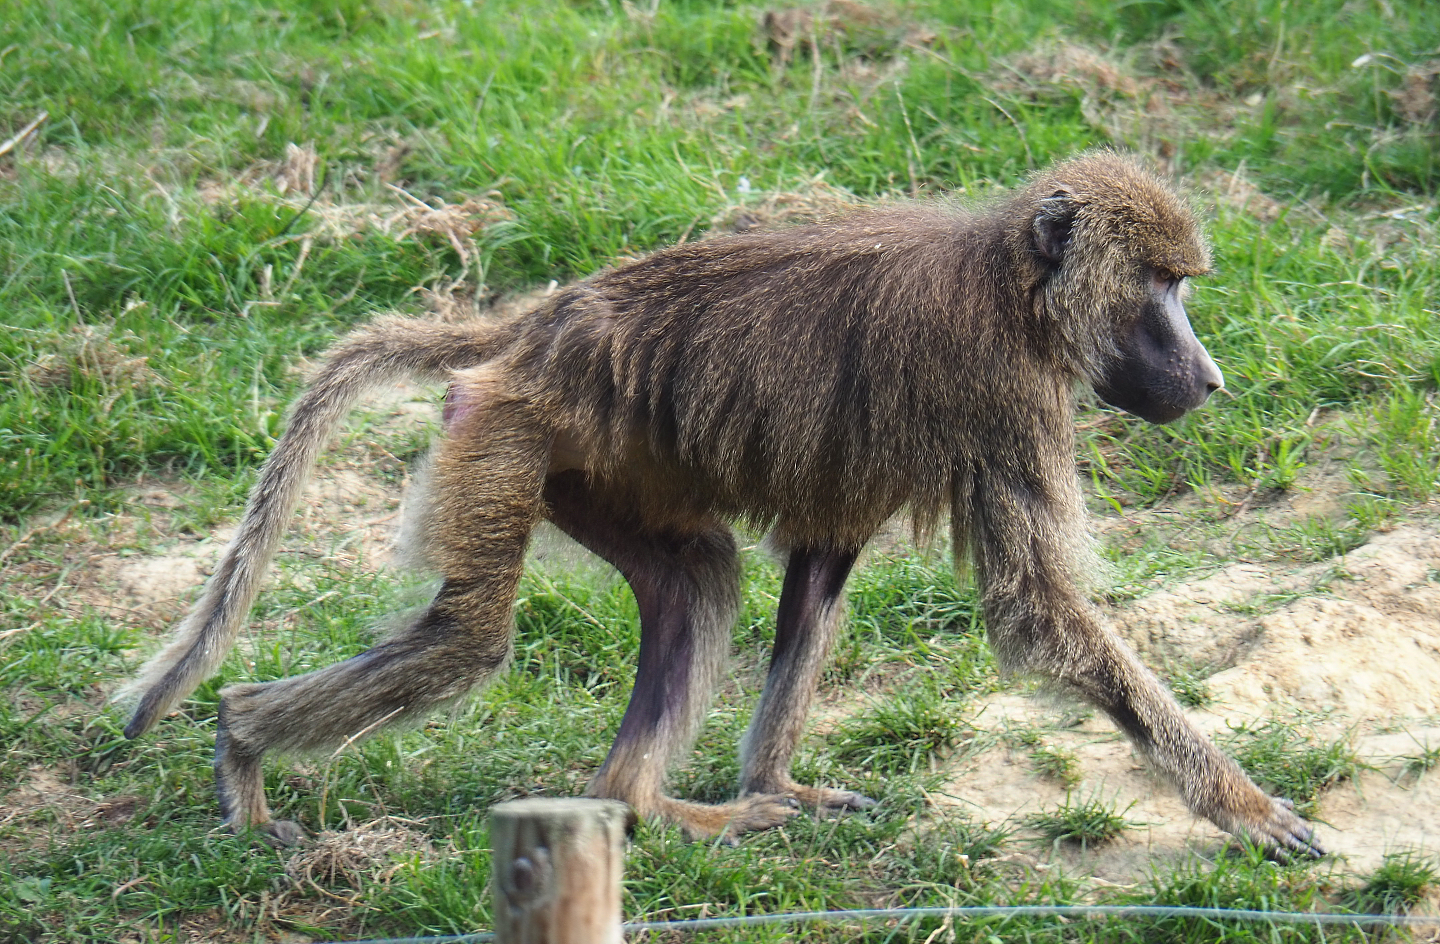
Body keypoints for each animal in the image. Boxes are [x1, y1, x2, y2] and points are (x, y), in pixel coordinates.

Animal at [115, 151, 1322, 859]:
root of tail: (532, 328)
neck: (1015, 290)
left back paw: (651, 804)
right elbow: (1042, 610)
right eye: (1159, 288)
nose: (1210, 378)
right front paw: (1246, 809)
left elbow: (820, 569)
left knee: (696, 583)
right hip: (501, 438)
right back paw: (240, 742)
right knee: (467, 642)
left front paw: (775, 776)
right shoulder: (1006, 399)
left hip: (582, 468)